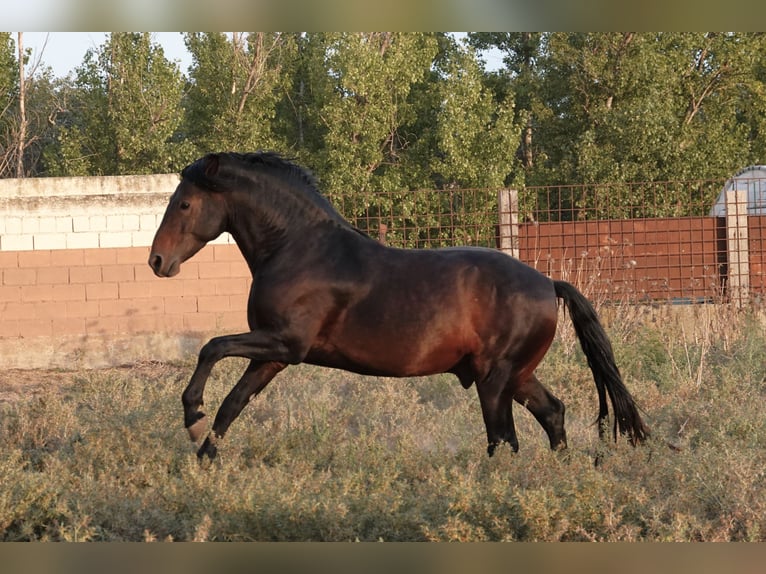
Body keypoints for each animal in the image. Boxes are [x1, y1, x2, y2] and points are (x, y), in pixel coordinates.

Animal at [149, 151, 649, 462]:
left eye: (185, 203)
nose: (157, 261)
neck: (299, 249)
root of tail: (548, 283)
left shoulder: (285, 344)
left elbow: (212, 347)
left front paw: (191, 418)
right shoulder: (274, 355)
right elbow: (232, 404)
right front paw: (203, 454)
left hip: (495, 380)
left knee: (503, 439)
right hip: (516, 376)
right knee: (551, 413)